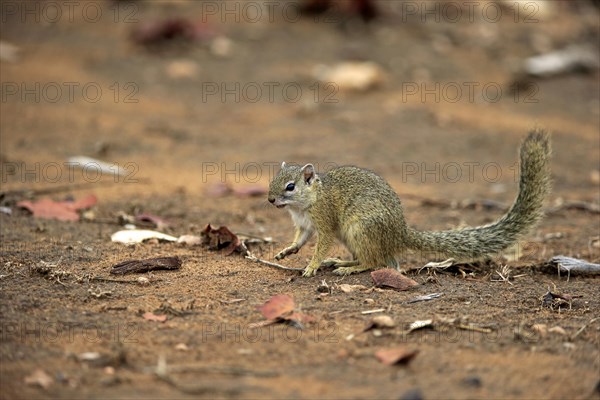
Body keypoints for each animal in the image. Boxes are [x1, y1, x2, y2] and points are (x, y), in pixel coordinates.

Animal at [270, 130, 552, 276]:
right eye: (273, 180)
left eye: (290, 186)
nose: (271, 199)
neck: (308, 201)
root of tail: (400, 234)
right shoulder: (304, 225)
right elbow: (301, 239)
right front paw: (287, 251)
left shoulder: (325, 220)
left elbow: (321, 245)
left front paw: (312, 266)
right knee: (383, 261)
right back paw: (341, 263)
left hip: (361, 229)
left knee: (376, 262)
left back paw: (348, 268)